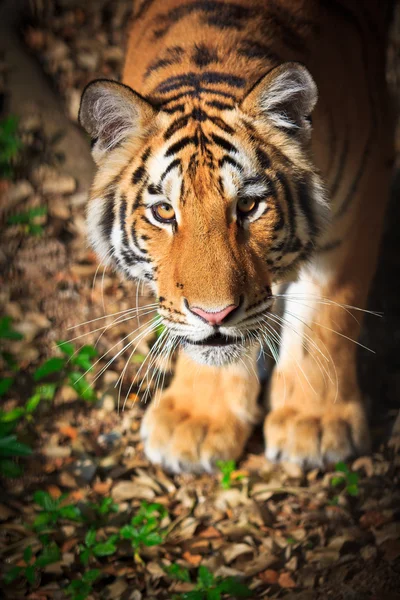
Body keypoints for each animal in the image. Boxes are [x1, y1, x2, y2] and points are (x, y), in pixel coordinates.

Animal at [78, 0, 394, 472]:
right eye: (165, 211)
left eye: (247, 206)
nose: (215, 315)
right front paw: (196, 422)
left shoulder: (359, 194)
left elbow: (327, 312)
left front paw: (316, 425)